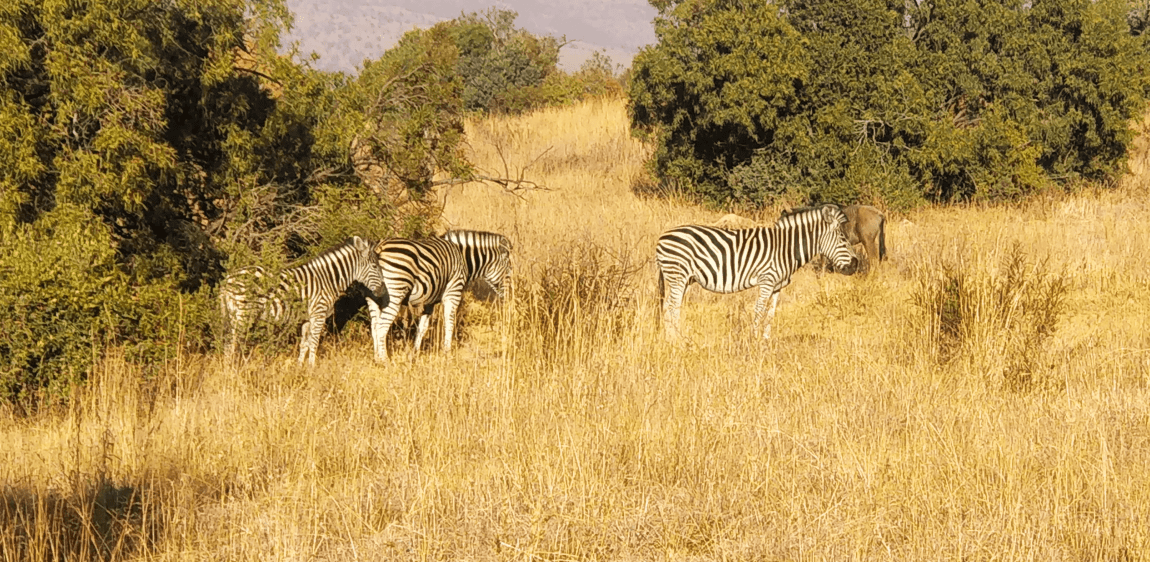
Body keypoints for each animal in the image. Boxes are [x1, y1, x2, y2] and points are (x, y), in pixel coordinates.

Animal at [219, 236, 384, 365]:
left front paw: (300, 368)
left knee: (228, 343)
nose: (382, 291)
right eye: (375, 266)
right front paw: (312, 368)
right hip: (243, 315)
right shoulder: (318, 313)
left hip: (231, 315)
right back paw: (234, 370)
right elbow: (314, 342)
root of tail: (229, 280)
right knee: (234, 343)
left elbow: (304, 344)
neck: (327, 280)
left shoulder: (307, 318)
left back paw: (227, 369)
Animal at [366, 230, 512, 361]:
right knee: (381, 327)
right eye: (509, 270)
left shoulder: (429, 302)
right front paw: (447, 353)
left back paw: (376, 358)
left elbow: (422, 328)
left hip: (374, 298)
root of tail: (380, 247)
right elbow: (450, 322)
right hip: (395, 294)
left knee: (374, 326)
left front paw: (415, 353)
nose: (510, 294)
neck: (463, 258)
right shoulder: (453, 293)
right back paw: (385, 360)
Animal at [655, 204, 859, 341]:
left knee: (669, 307)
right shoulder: (766, 281)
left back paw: (672, 340)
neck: (785, 249)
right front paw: (753, 342)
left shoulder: (777, 286)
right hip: (677, 275)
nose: (855, 265)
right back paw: (677, 341)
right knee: (672, 307)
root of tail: (662, 237)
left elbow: (770, 314)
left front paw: (765, 342)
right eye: (843, 239)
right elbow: (759, 311)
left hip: (684, 279)